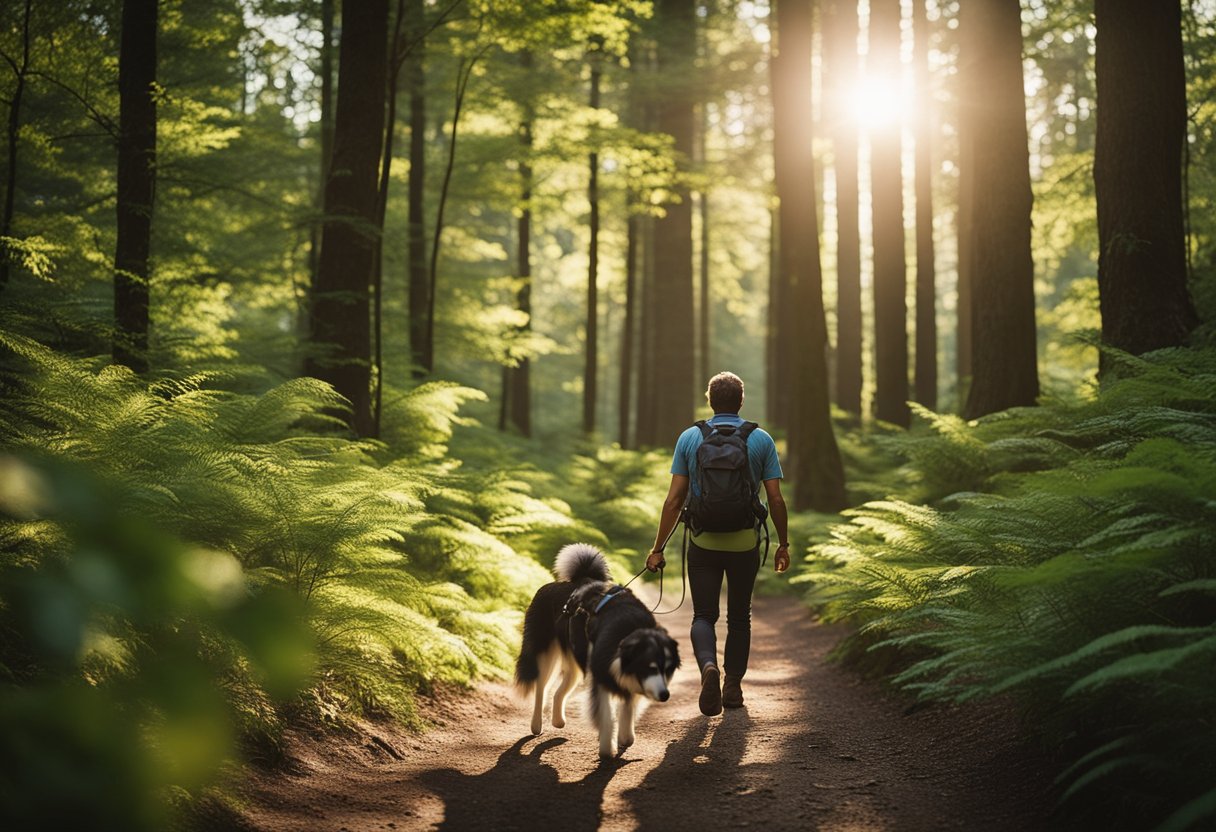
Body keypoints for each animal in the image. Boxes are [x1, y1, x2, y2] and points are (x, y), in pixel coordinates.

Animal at [515, 542, 680, 759]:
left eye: (668, 669)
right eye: (650, 667)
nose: (665, 695)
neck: (628, 634)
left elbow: (628, 708)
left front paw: (625, 736)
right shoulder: (601, 678)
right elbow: (607, 715)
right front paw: (607, 748)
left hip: (577, 662)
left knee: (559, 691)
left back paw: (558, 721)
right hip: (544, 655)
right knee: (541, 688)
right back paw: (536, 725)